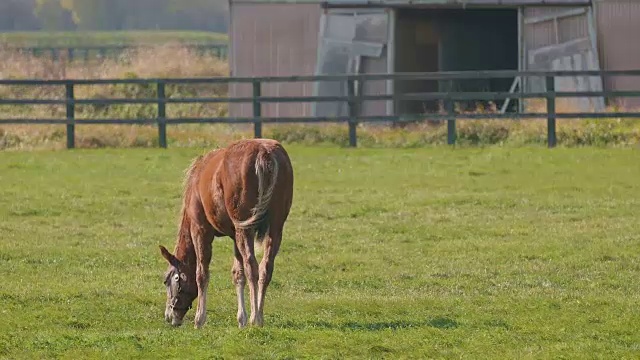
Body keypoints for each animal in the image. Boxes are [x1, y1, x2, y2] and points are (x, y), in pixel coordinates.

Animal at [159, 139, 294, 330]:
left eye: (167, 280)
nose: (170, 316)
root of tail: (264, 152)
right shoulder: (234, 236)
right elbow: (238, 274)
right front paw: (241, 318)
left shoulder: (200, 229)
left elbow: (202, 273)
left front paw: (200, 319)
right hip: (275, 227)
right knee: (265, 267)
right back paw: (258, 315)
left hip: (245, 228)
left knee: (252, 266)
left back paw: (256, 317)